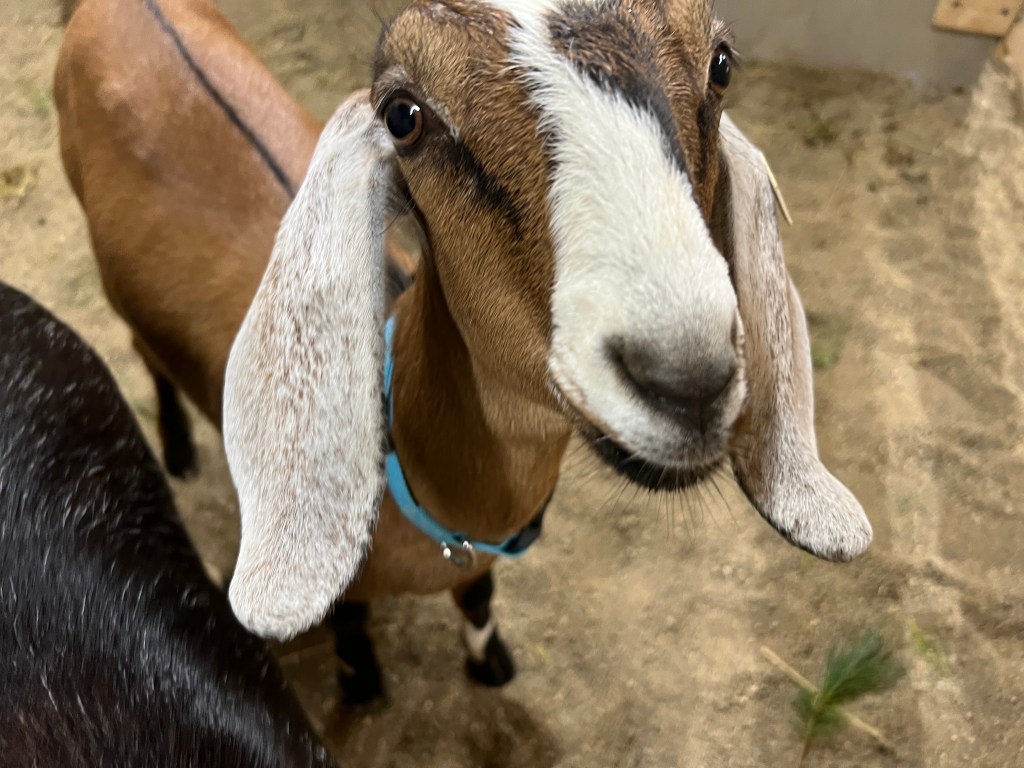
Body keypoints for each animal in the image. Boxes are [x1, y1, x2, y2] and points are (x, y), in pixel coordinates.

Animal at [56, 0, 873, 706]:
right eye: (403, 115)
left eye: (722, 66)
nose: (687, 375)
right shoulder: (353, 590)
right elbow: (351, 620)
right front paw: (362, 682)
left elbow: (479, 595)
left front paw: (490, 660)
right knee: (143, 350)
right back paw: (178, 447)